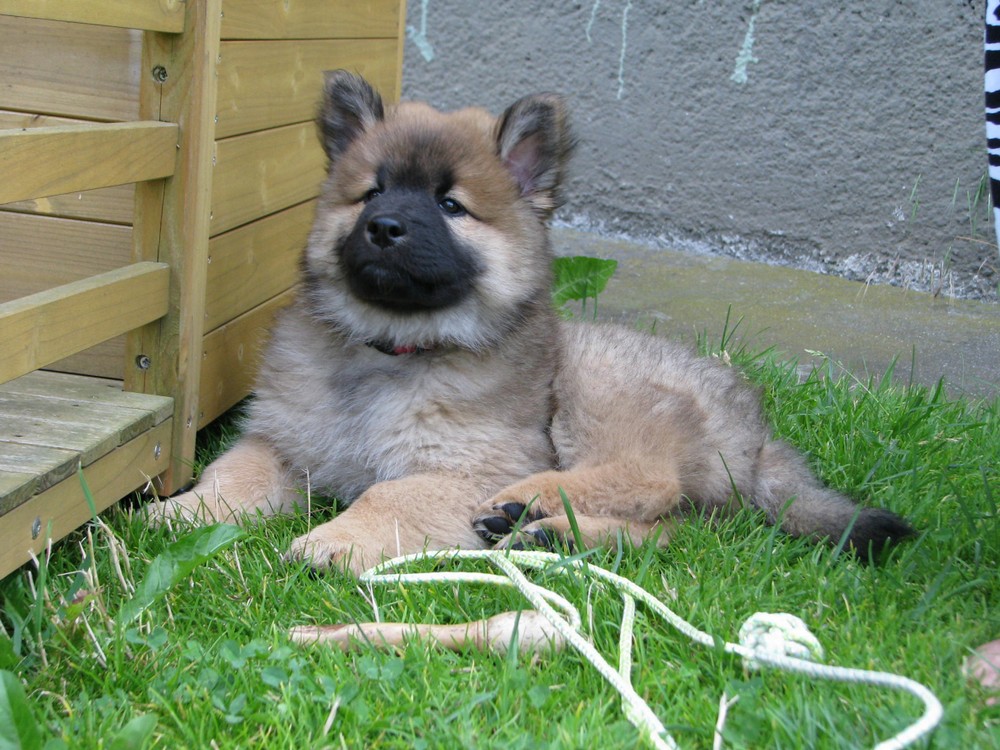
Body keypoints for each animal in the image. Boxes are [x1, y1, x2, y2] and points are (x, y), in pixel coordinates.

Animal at [150, 70, 913, 573]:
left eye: (450, 205)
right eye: (370, 193)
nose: (385, 227)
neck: (396, 350)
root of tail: (755, 432)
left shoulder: (469, 463)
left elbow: (391, 494)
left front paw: (338, 539)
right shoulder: (285, 443)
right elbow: (234, 474)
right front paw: (180, 512)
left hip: (595, 385)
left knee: (648, 479)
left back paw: (531, 504)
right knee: (674, 531)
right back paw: (551, 535)